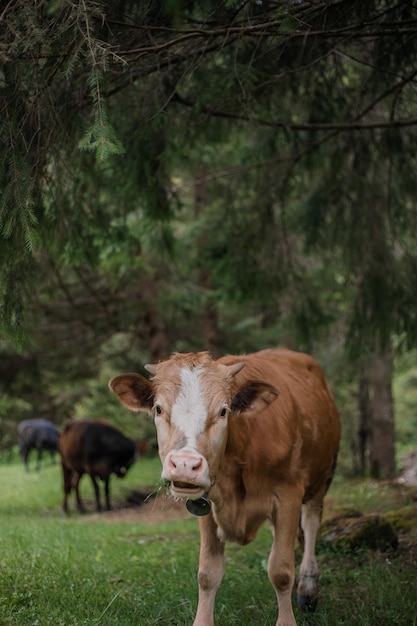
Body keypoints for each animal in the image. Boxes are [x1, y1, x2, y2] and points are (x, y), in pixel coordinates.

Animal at [109, 348, 340, 620]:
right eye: (158, 409)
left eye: (223, 411)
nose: (185, 464)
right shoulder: (207, 506)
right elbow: (208, 574)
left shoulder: (289, 494)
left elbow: (281, 571)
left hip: (323, 476)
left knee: (311, 523)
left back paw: (308, 586)